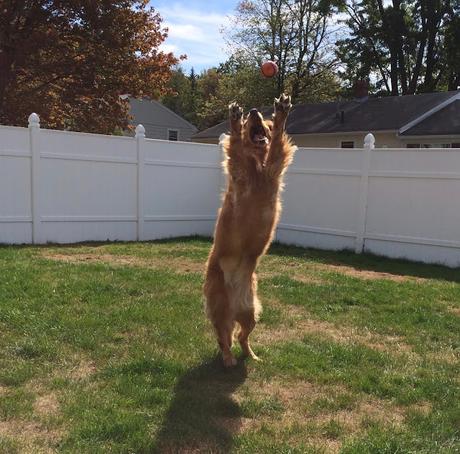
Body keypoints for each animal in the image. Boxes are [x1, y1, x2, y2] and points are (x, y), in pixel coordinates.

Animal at [204, 94, 296, 368]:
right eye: (248, 121)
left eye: (264, 121)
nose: (253, 111)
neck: (258, 168)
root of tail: (235, 308)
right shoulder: (239, 167)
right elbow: (235, 144)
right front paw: (234, 120)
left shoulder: (274, 167)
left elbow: (277, 143)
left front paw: (282, 113)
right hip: (220, 311)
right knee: (223, 339)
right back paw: (228, 359)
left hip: (252, 314)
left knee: (241, 337)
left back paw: (251, 355)